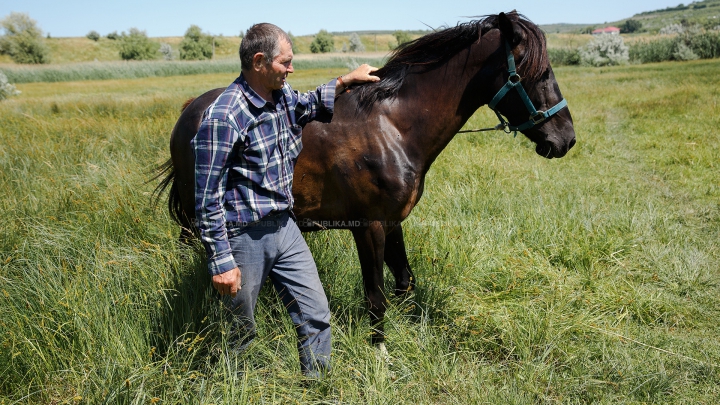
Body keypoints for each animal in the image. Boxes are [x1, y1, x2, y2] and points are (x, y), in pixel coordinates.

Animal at [155, 11, 576, 348]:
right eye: (540, 72)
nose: (566, 139)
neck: (392, 127)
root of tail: (191, 110)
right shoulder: (368, 226)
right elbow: (376, 297)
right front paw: (380, 351)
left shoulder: (392, 223)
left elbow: (404, 280)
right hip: (198, 219)